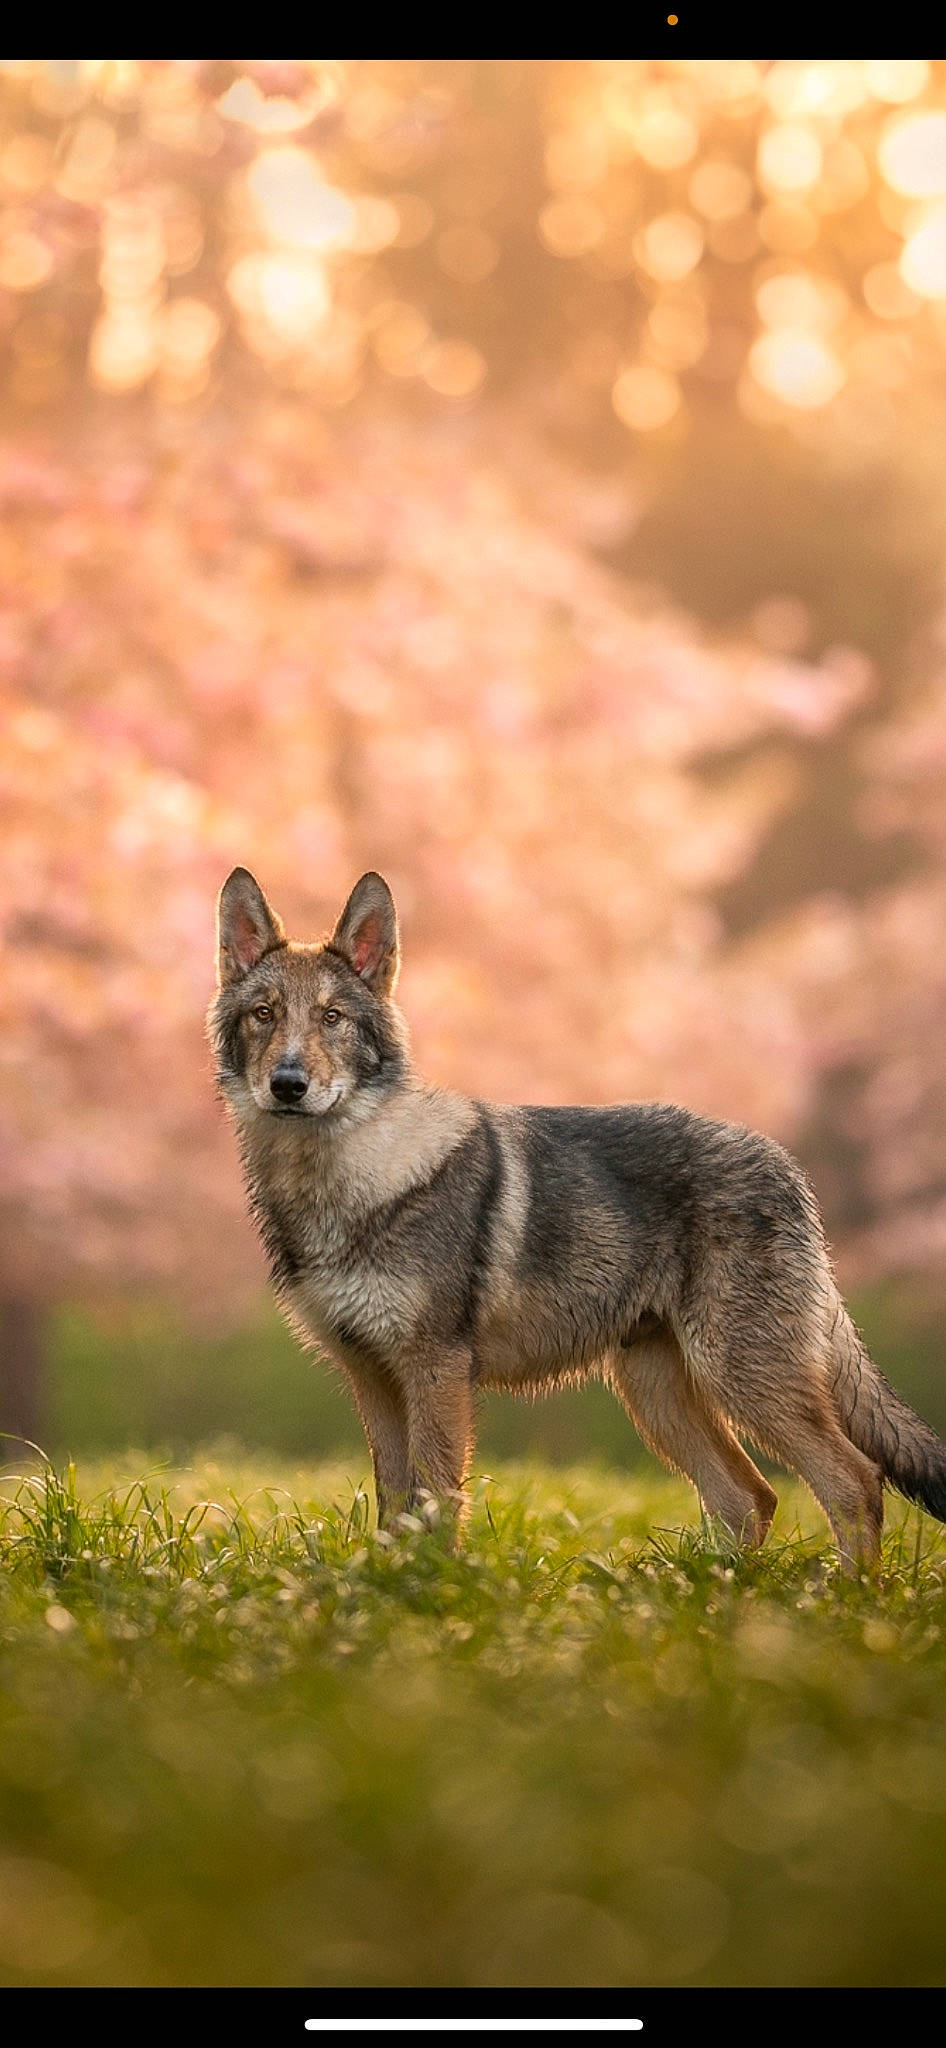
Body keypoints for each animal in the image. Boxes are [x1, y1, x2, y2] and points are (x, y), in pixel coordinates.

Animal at [208, 865, 946, 1572]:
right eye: (265, 1014)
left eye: (332, 1017)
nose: (288, 1084)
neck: (345, 1185)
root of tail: (785, 1163)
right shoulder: (373, 1378)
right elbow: (394, 1509)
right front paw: (385, 1588)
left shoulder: (434, 1372)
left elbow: (437, 1502)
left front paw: (433, 1588)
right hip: (658, 1396)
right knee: (751, 1497)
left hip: (740, 1379)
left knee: (854, 1481)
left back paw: (844, 1598)